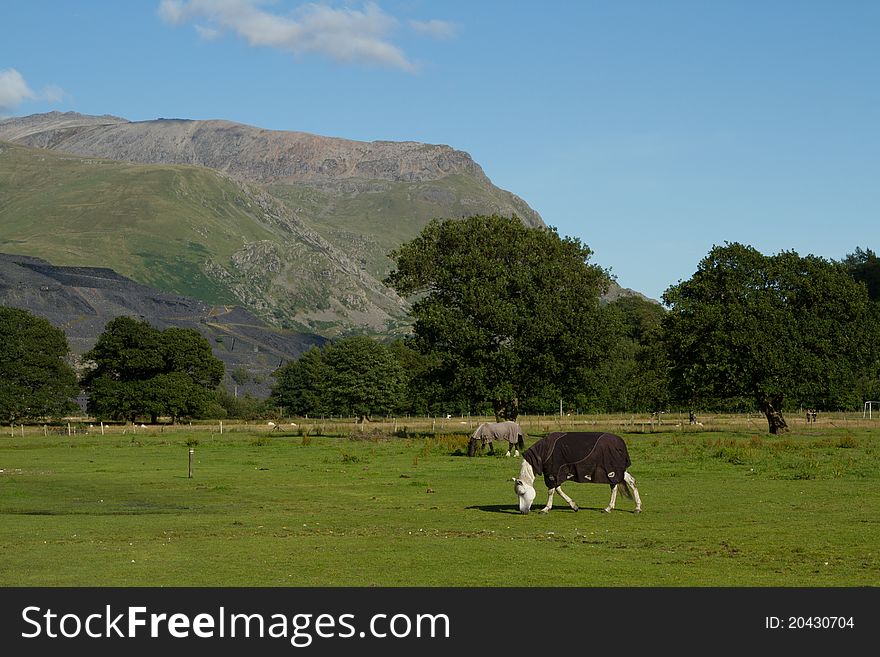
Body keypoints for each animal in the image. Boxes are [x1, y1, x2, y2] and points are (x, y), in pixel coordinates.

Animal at [508, 434, 640, 516]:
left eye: (522, 493)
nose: (523, 512)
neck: (545, 452)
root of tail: (620, 442)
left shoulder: (552, 474)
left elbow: (551, 491)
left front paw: (545, 509)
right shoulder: (556, 474)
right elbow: (558, 490)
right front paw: (574, 506)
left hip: (611, 471)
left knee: (614, 486)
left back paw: (609, 508)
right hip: (618, 470)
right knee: (631, 481)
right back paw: (637, 508)